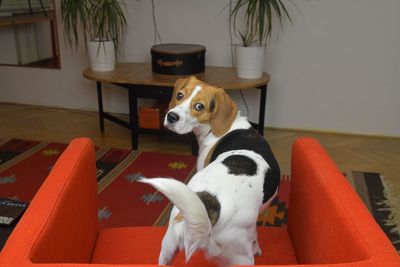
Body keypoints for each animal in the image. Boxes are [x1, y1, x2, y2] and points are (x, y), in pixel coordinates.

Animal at [141, 76, 282, 267]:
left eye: (199, 106)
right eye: (180, 95)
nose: (171, 116)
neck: (225, 126)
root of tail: (209, 208)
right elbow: (254, 233)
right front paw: (256, 246)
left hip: (170, 242)